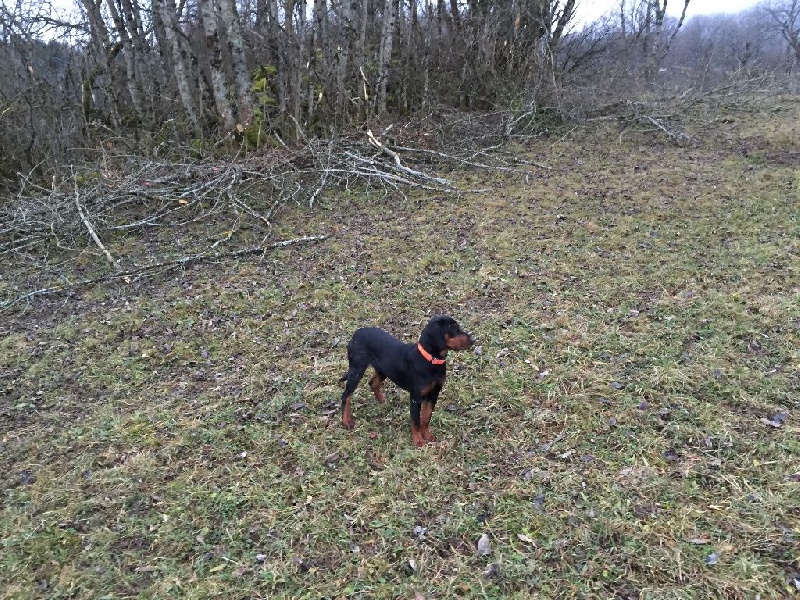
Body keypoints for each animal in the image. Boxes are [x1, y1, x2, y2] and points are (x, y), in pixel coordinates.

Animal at [340, 315, 474, 446]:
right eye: (453, 328)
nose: (473, 340)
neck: (431, 360)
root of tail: (356, 333)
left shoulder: (433, 394)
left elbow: (426, 417)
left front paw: (427, 435)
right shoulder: (415, 397)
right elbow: (416, 421)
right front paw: (418, 440)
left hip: (384, 369)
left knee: (373, 383)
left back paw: (383, 401)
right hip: (357, 370)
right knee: (346, 395)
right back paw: (346, 421)